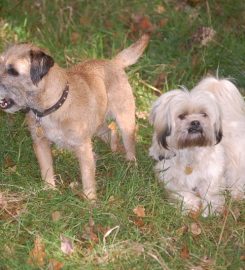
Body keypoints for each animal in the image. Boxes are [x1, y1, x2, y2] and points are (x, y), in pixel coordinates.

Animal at [0, 35, 149, 198]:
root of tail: (113, 62)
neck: (54, 105)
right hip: (97, 124)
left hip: (125, 121)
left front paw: (90, 200)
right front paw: (50, 191)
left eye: (13, 71)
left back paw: (131, 165)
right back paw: (112, 148)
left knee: (130, 146)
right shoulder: (41, 144)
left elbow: (87, 178)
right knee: (110, 131)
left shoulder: (82, 147)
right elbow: (47, 170)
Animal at [150, 77, 244, 216]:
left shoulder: (212, 173)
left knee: (237, 175)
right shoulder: (168, 175)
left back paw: (237, 193)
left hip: (235, 156)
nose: (195, 122)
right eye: (182, 116)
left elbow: (210, 191)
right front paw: (191, 205)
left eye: (203, 114)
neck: (191, 148)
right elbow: (181, 192)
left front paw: (211, 208)